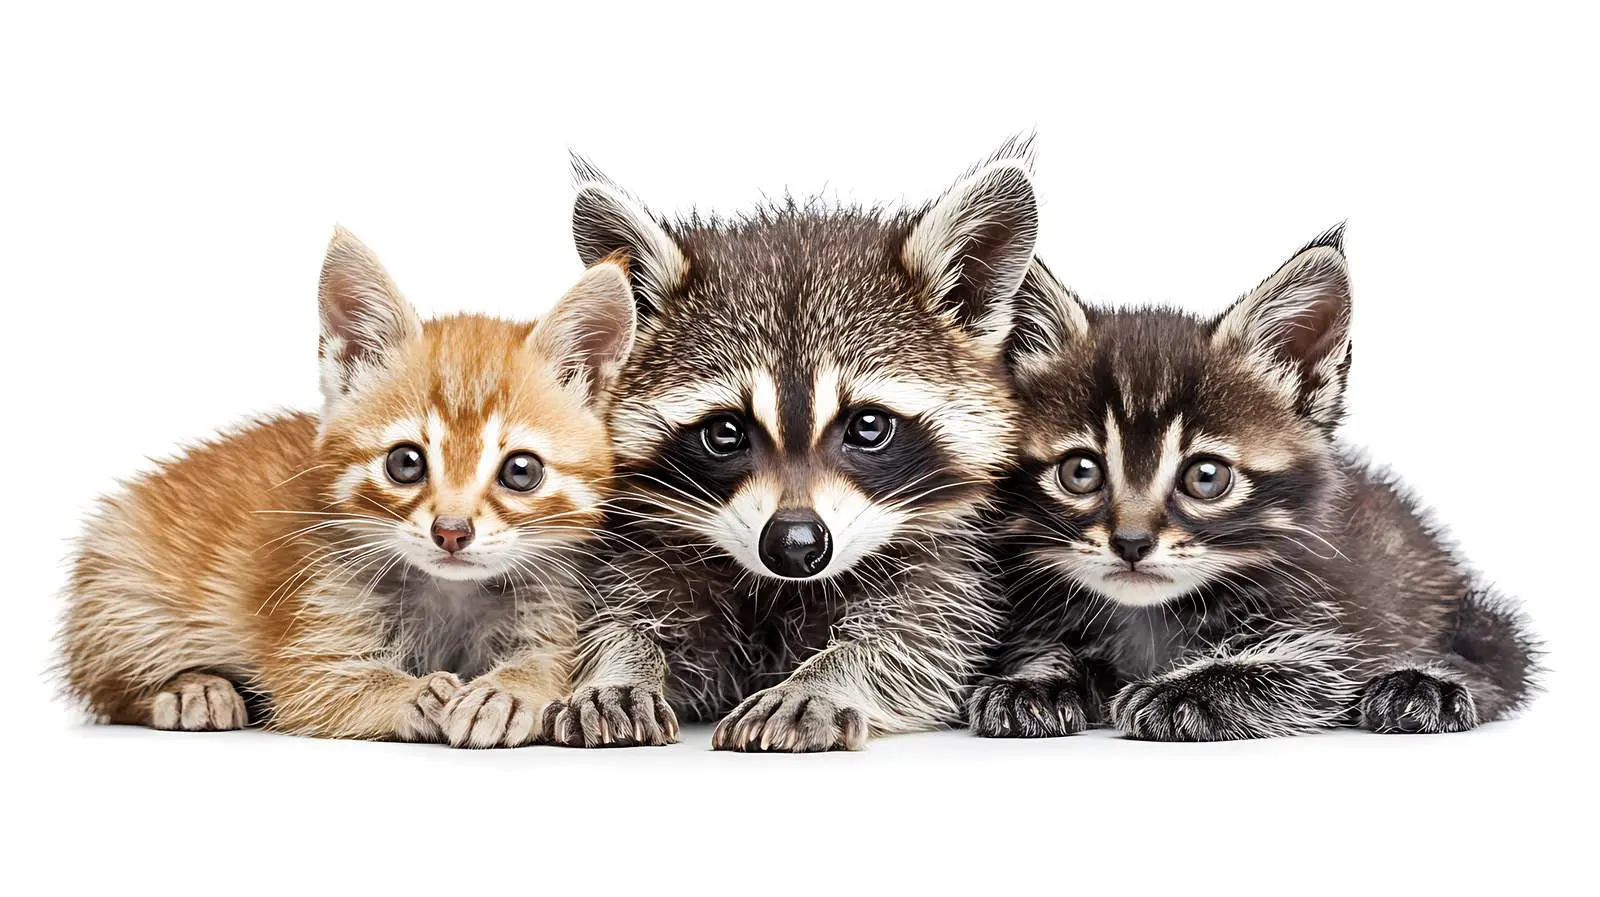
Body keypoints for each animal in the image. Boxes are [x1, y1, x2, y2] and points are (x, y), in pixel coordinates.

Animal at [544, 146, 1038, 751]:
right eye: (725, 432)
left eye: (868, 427)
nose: (795, 545)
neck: (781, 589)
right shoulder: (641, 547)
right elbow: (616, 616)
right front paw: (619, 666)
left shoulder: (955, 563)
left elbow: (919, 641)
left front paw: (823, 678)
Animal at [972, 227, 1540, 741]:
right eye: (1080, 472)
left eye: (1206, 477)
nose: (1131, 543)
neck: (1149, 618)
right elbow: (1044, 649)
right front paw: (1037, 683)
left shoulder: (1337, 621)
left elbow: (1304, 668)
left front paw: (1187, 691)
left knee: (1498, 658)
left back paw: (1424, 687)